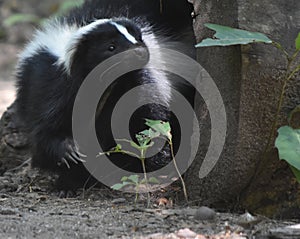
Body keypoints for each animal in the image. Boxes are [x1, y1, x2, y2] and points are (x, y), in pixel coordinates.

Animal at [15, 0, 196, 194]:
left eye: (138, 38)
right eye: (111, 47)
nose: (140, 51)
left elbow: (149, 123)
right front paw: (69, 153)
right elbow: (46, 129)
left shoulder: (140, 84)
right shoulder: (51, 85)